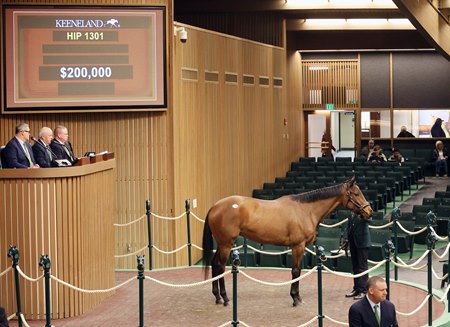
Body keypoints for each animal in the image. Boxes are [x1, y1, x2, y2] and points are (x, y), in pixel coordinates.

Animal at [202, 177, 370, 308]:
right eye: (356, 193)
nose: (369, 211)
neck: (305, 210)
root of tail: (215, 206)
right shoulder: (298, 246)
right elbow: (295, 271)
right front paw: (295, 298)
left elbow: (298, 271)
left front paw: (297, 296)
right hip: (226, 244)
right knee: (221, 267)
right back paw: (225, 298)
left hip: (222, 244)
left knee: (215, 264)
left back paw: (217, 297)